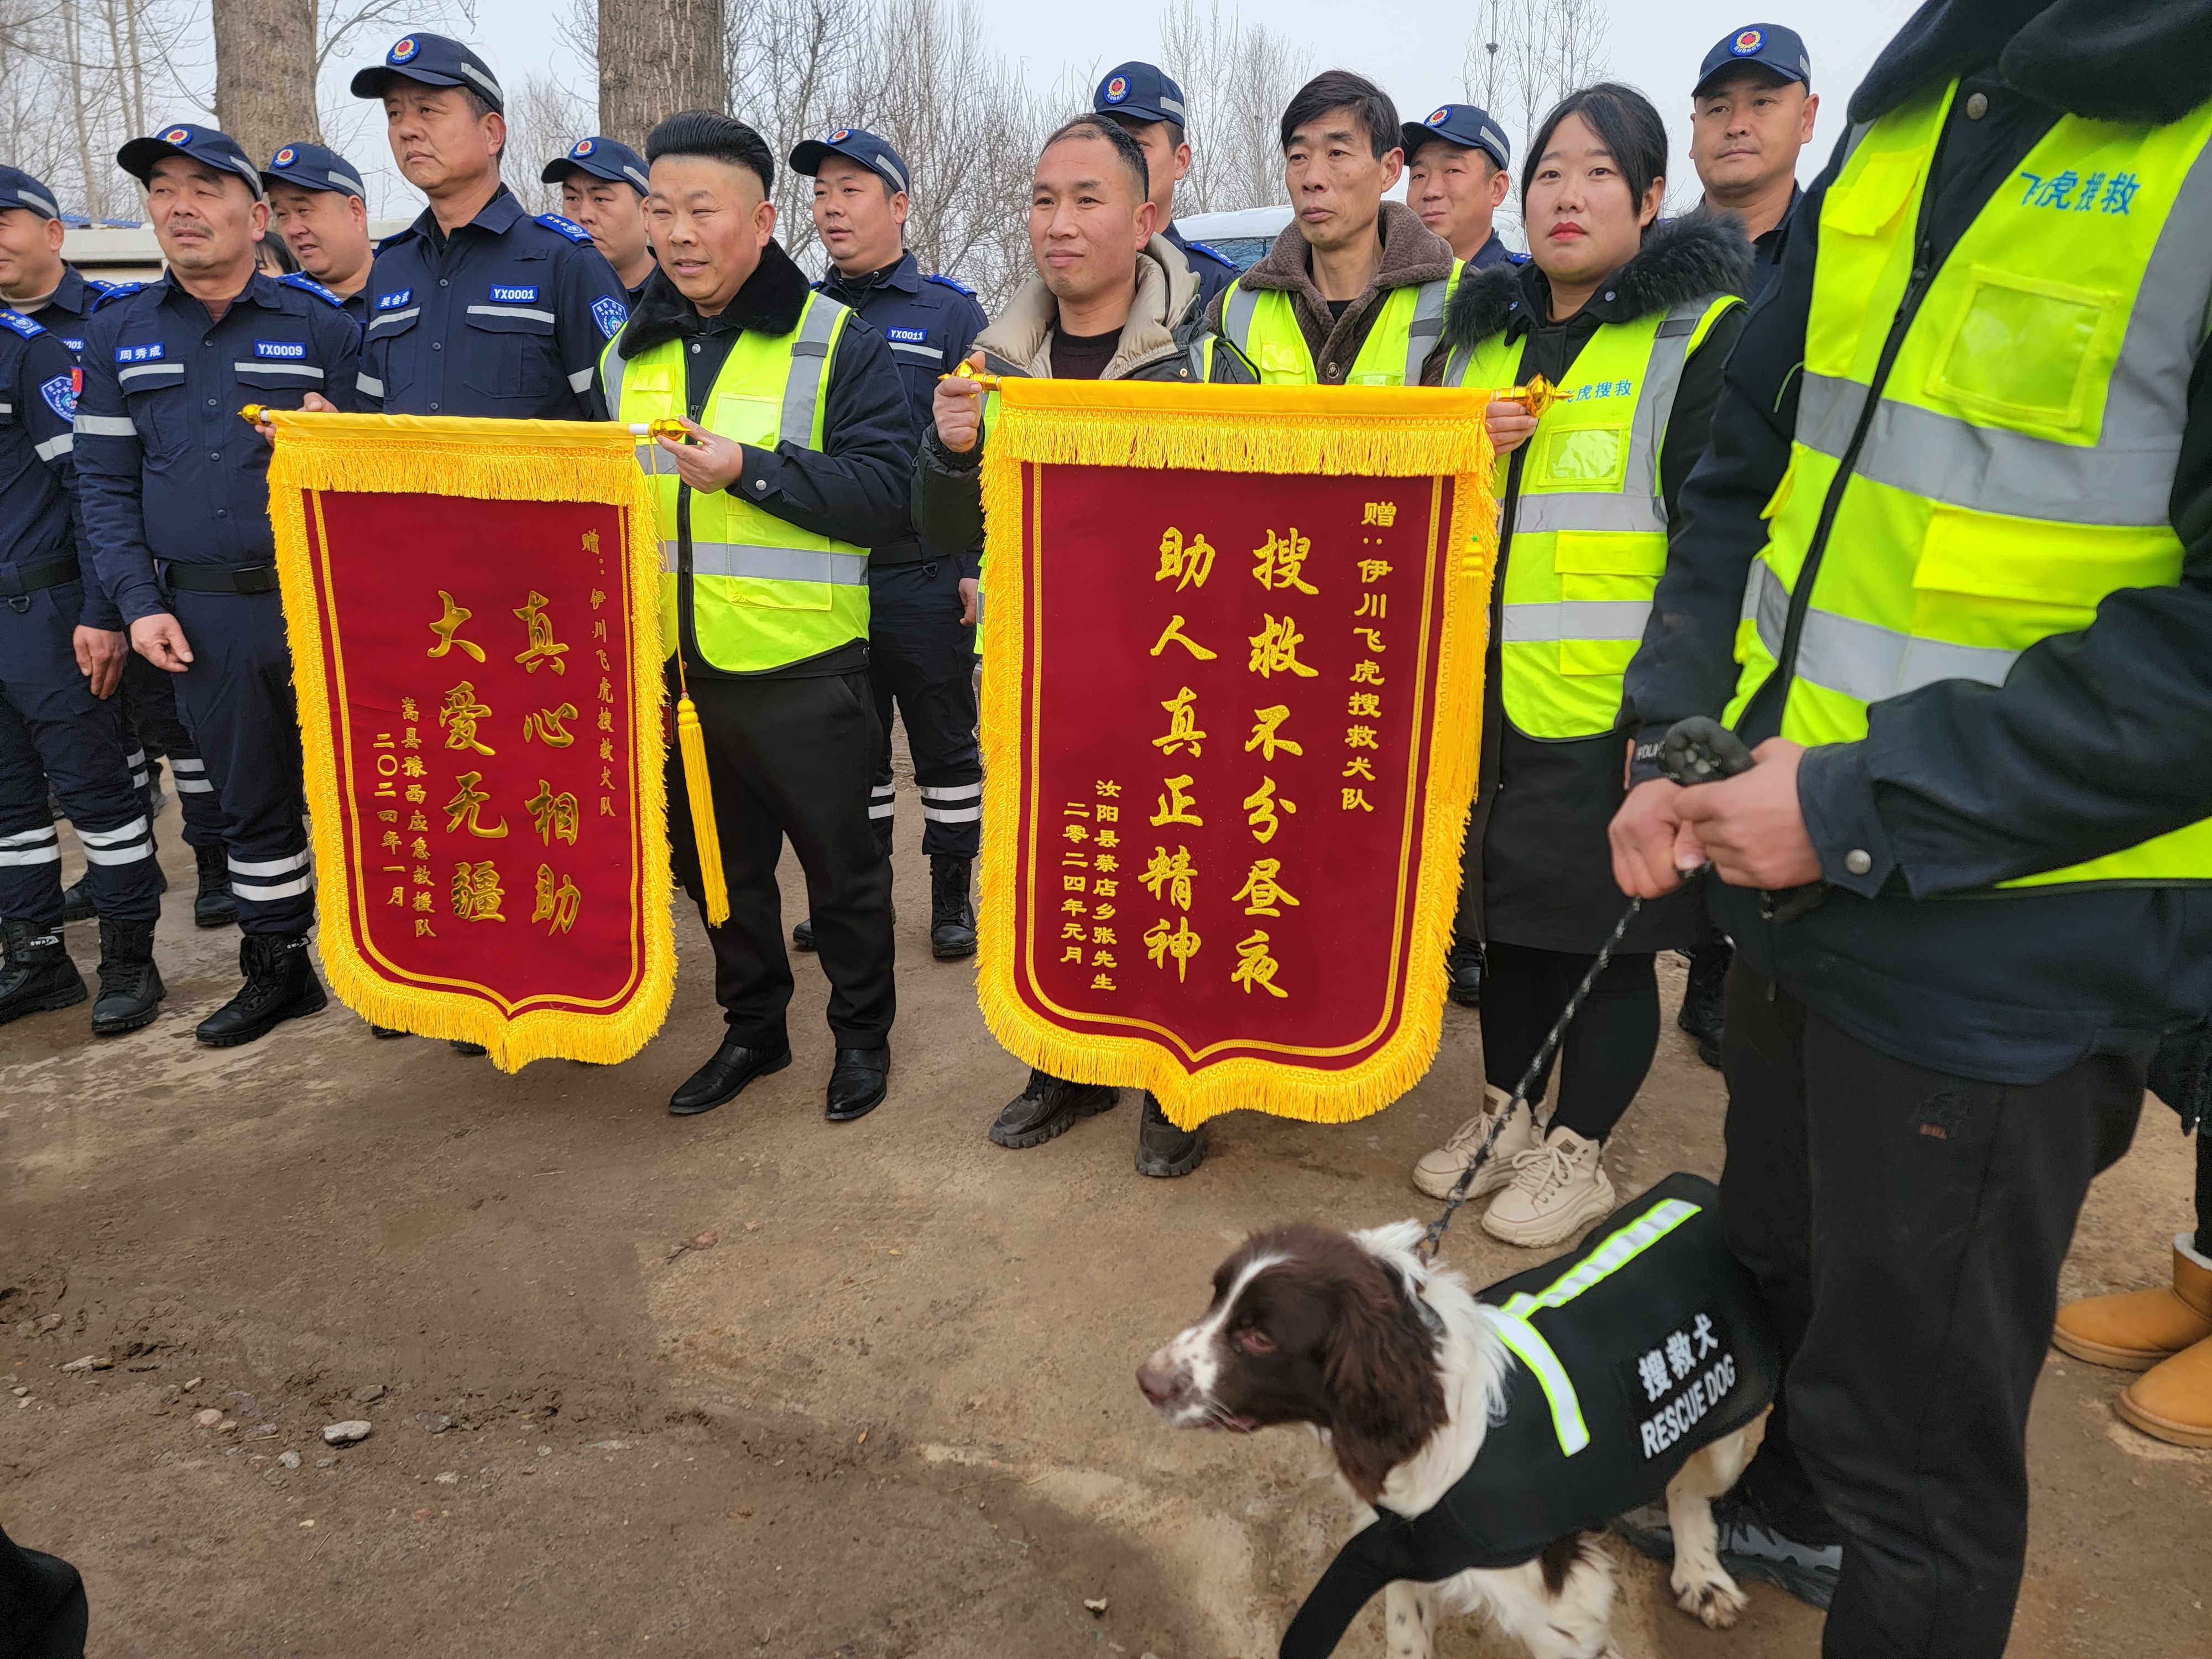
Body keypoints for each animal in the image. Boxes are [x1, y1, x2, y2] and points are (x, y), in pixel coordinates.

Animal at [1141, 1221, 1761, 1659]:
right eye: (1215, 1297)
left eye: (1260, 1337)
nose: (1146, 1380)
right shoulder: (1398, 1545)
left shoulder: (1565, 1605)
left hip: (1727, 1428)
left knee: (1690, 1489)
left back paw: (1702, 1577)